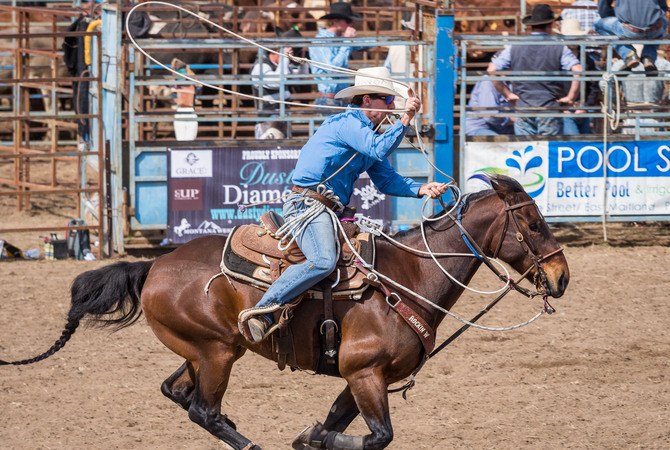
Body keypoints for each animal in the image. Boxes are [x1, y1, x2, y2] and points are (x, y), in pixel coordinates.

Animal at [1, 176, 572, 450]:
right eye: (534, 224)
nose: (563, 277)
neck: (408, 278)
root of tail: (154, 264)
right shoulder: (364, 373)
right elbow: (379, 436)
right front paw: (307, 436)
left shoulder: (362, 379)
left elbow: (343, 428)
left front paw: (314, 435)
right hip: (217, 353)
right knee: (203, 409)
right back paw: (248, 442)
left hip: (201, 351)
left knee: (178, 394)